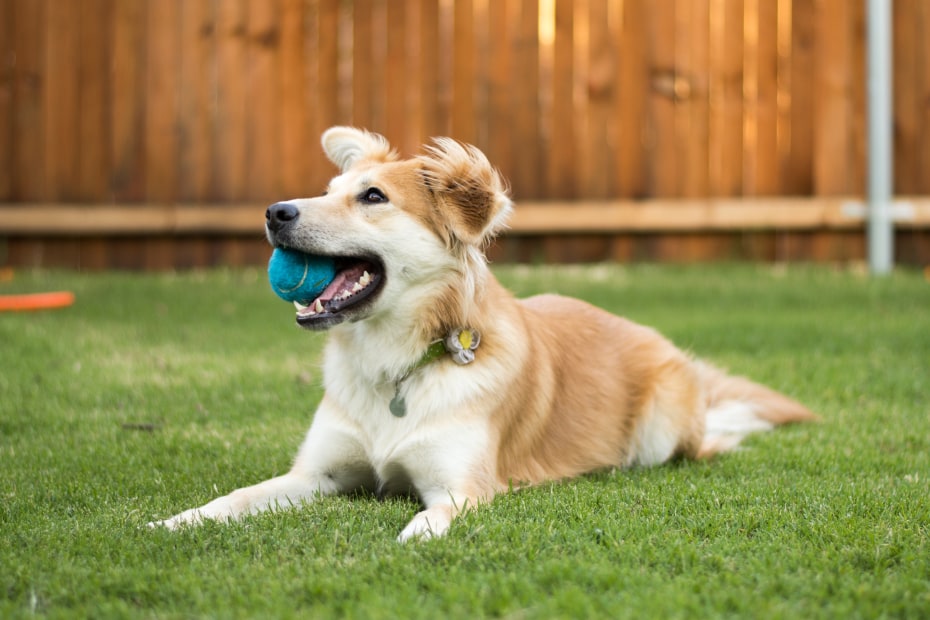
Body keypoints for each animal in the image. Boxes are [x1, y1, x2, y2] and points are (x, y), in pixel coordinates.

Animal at [152, 128, 812, 540]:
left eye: (373, 196)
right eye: (327, 192)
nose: (275, 212)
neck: (398, 365)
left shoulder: (463, 487)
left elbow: (430, 520)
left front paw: (413, 537)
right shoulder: (313, 476)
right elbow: (233, 498)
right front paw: (173, 522)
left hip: (661, 430)